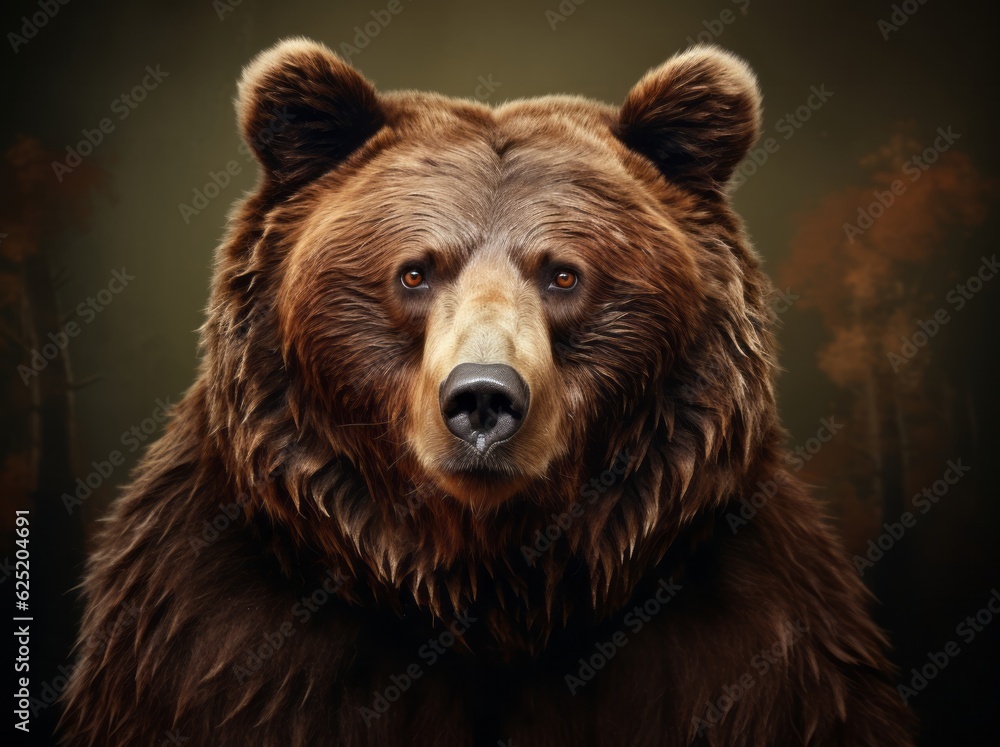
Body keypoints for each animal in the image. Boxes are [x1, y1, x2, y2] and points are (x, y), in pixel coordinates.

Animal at [60, 38, 915, 746]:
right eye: (414, 271)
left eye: (564, 274)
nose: (482, 399)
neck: (489, 585)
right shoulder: (219, 637)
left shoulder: (745, 641)